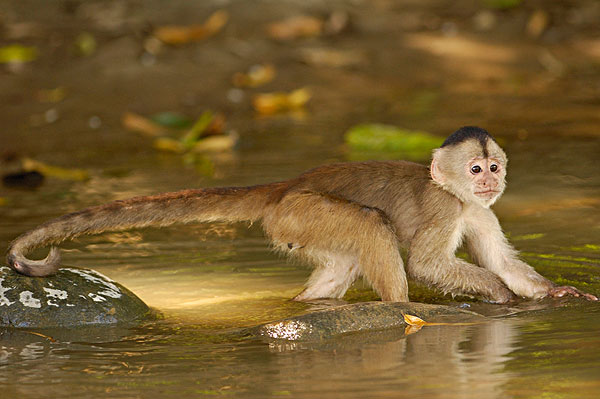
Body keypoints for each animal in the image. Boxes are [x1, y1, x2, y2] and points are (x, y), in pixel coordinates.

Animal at [7, 127, 596, 304]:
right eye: (475, 167)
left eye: (494, 166)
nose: (490, 180)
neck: (457, 194)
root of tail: (288, 185)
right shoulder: (445, 207)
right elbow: (429, 265)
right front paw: (497, 297)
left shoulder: (477, 211)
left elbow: (501, 257)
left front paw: (555, 294)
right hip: (303, 212)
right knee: (371, 226)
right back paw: (403, 310)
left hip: (298, 225)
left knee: (341, 262)